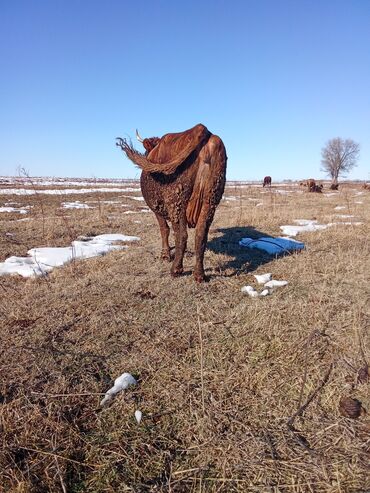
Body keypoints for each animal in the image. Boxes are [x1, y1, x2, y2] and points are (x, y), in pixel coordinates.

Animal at [115, 123, 227, 282]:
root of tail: (202, 130)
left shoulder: (156, 207)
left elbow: (164, 229)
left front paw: (165, 255)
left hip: (177, 203)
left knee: (181, 235)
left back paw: (176, 269)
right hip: (210, 200)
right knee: (200, 234)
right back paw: (199, 274)